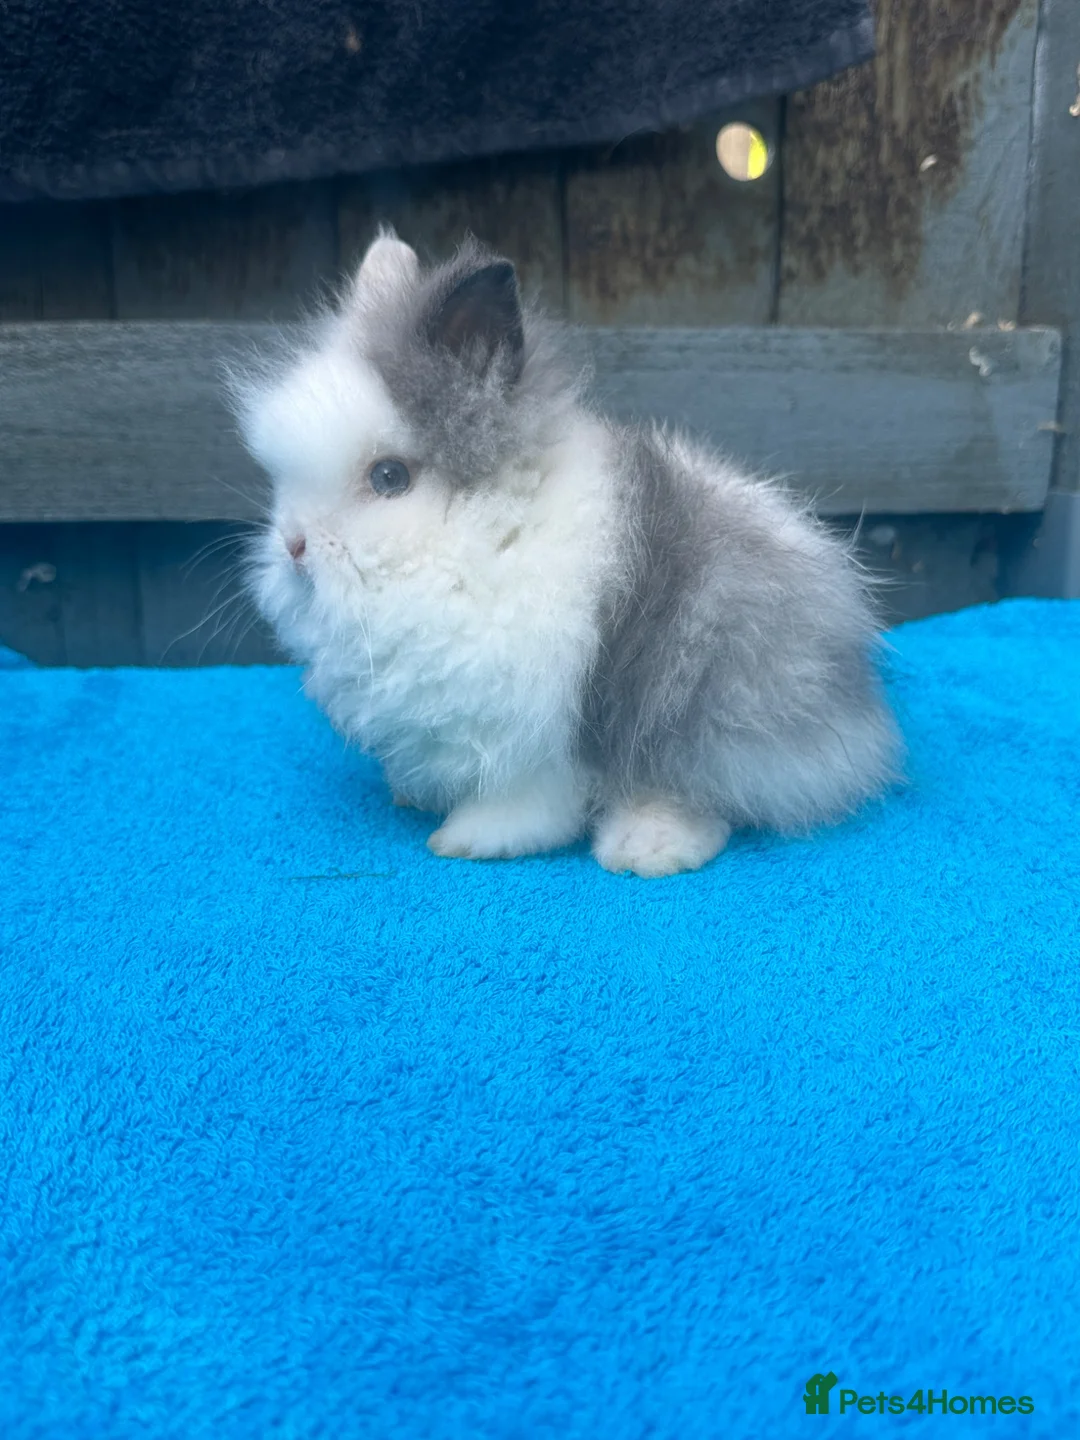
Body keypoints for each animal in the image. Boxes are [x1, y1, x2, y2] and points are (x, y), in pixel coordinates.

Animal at [233, 230, 902, 877]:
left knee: (702, 796)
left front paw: (468, 839)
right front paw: (414, 795)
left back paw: (645, 849)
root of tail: (858, 706)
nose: (293, 546)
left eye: (390, 477)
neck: (477, 538)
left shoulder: (528, 736)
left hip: (709, 704)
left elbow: (527, 805)